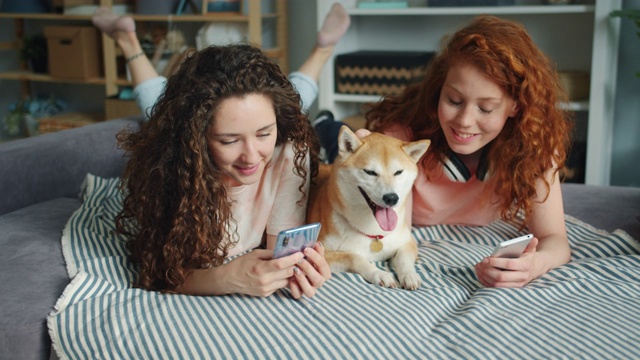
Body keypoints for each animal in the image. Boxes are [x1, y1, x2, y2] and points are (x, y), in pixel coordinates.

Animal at [306, 126, 430, 290]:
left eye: (398, 172)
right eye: (370, 172)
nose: (391, 198)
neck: (374, 233)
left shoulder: (407, 242)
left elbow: (404, 256)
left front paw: (409, 275)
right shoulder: (319, 253)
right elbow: (355, 257)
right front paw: (379, 274)